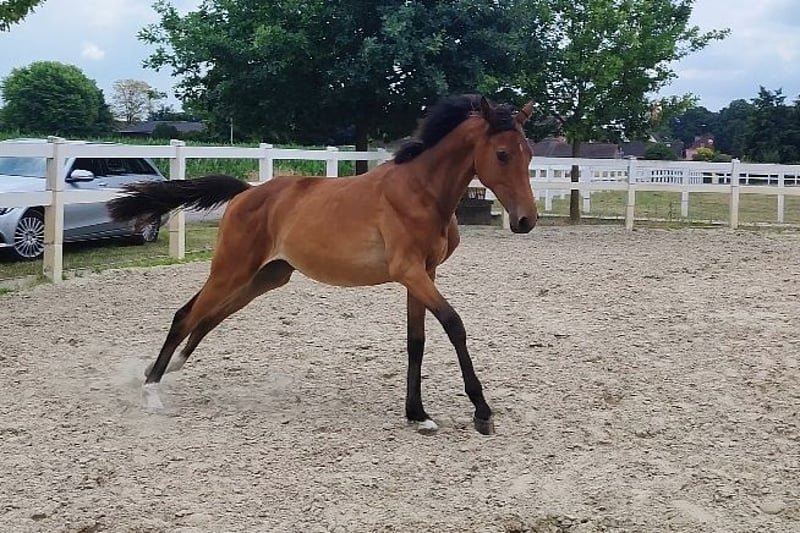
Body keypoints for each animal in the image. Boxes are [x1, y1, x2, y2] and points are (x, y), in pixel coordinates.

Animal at [108, 94, 537, 435]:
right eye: (502, 154)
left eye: (530, 153)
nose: (525, 220)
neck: (421, 192)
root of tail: (246, 192)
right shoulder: (410, 272)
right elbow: (454, 325)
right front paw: (481, 412)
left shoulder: (423, 274)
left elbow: (416, 341)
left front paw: (417, 414)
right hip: (232, 269)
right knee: (186, 315)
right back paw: (151, 391)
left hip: (266, 276)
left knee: (208, 316)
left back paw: (163, 370)